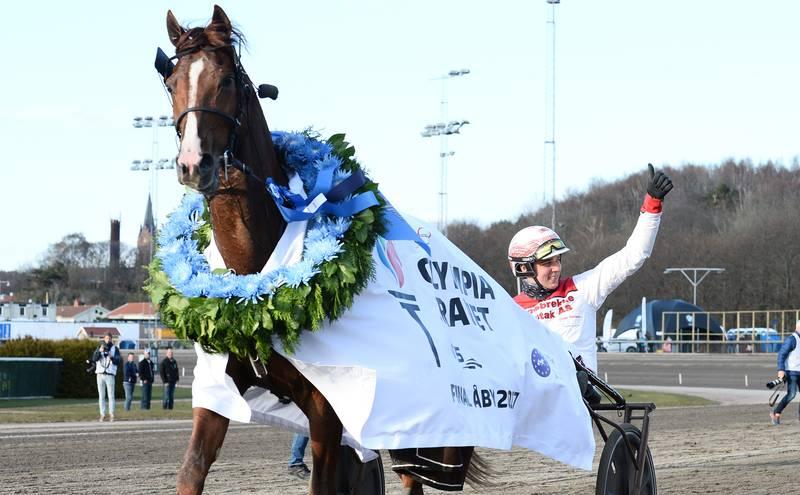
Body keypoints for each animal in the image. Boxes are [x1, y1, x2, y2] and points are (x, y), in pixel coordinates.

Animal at [161, 4, 488, 495]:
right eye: (171, 81)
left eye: (226, 79)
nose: (193, 163)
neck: (256, 280)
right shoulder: (218, 387)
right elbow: (192, 468)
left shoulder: (326, 406)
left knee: (413, 473)